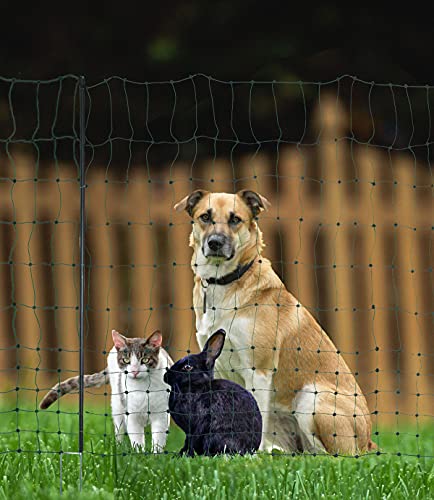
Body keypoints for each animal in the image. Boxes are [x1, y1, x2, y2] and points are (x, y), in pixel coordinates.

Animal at [175, 189, 374, 456]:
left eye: (235, 219)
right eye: (205, 217)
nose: (215, 242)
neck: (226, 283)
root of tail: (369, 442)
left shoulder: (259, 369)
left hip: (312, 397)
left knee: (336, 456)